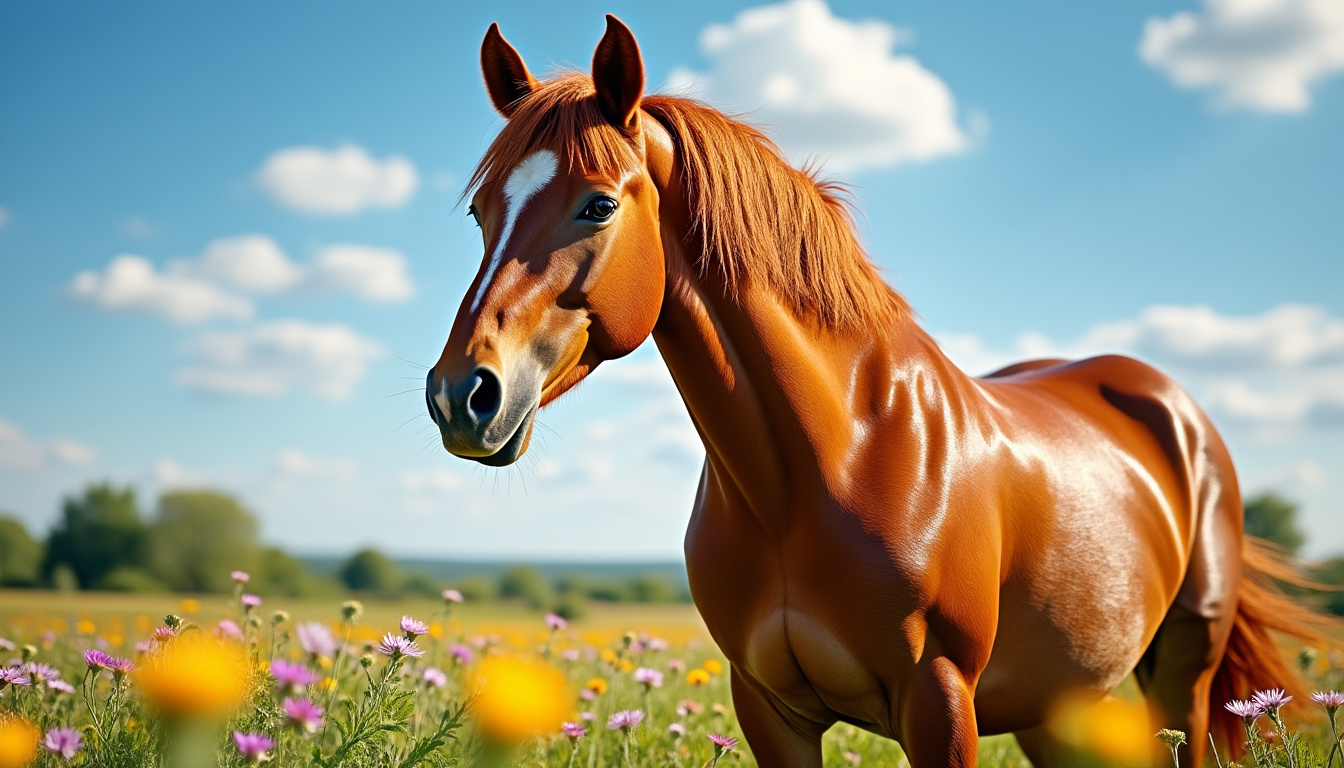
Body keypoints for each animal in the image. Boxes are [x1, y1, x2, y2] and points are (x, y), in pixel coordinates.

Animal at [426, 16, 1322, 766]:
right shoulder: (770, 709)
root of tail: (1169, 404)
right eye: (479, 213)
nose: (462, 396)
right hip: (1058, 708)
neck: (825, 467)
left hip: (1183, 676)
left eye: (598, 204)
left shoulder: (940, 701)